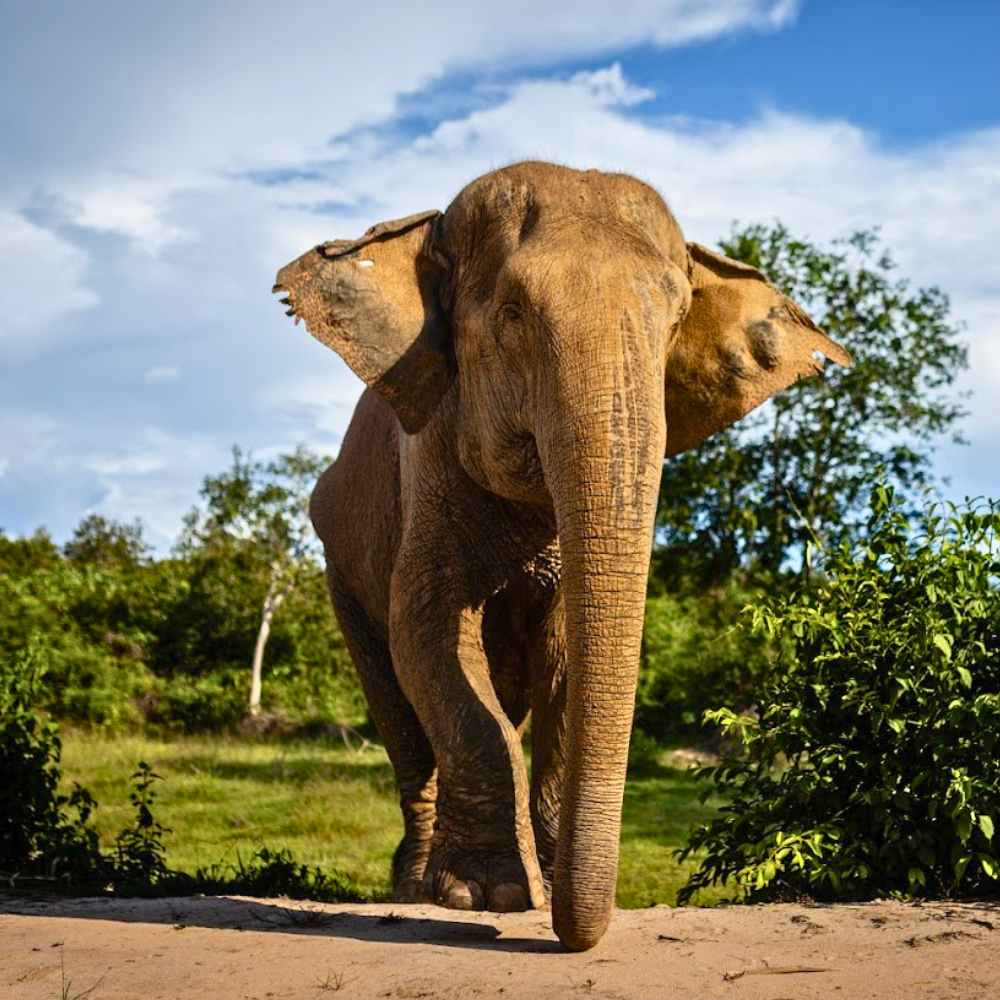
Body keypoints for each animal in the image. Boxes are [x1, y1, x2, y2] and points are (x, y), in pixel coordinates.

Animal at [274, 160, 852, 948]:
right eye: (512, 314)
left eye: (675, 319)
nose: (571, 931)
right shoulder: (429, 461)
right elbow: (427, 633)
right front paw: (484, 896)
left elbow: (568, 661)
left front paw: (538, 887)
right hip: (338, 566)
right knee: (396, 705)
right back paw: (418, 884)